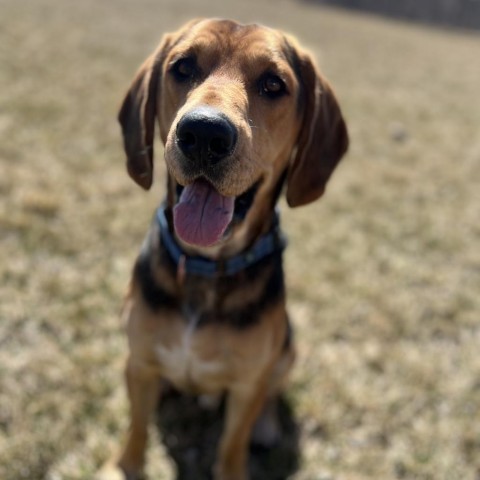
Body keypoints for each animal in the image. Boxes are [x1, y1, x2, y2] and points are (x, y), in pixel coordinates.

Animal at [103, 16, 346, 480]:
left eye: (273, 84)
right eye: (182, 67)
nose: (203, 132)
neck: (205, 267)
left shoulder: (247, 385)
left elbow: (233, 444)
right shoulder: (138, 363)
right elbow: (137, 430)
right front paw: (126, 464)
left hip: (287, 348)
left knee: (271, 392)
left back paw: (267, 426)